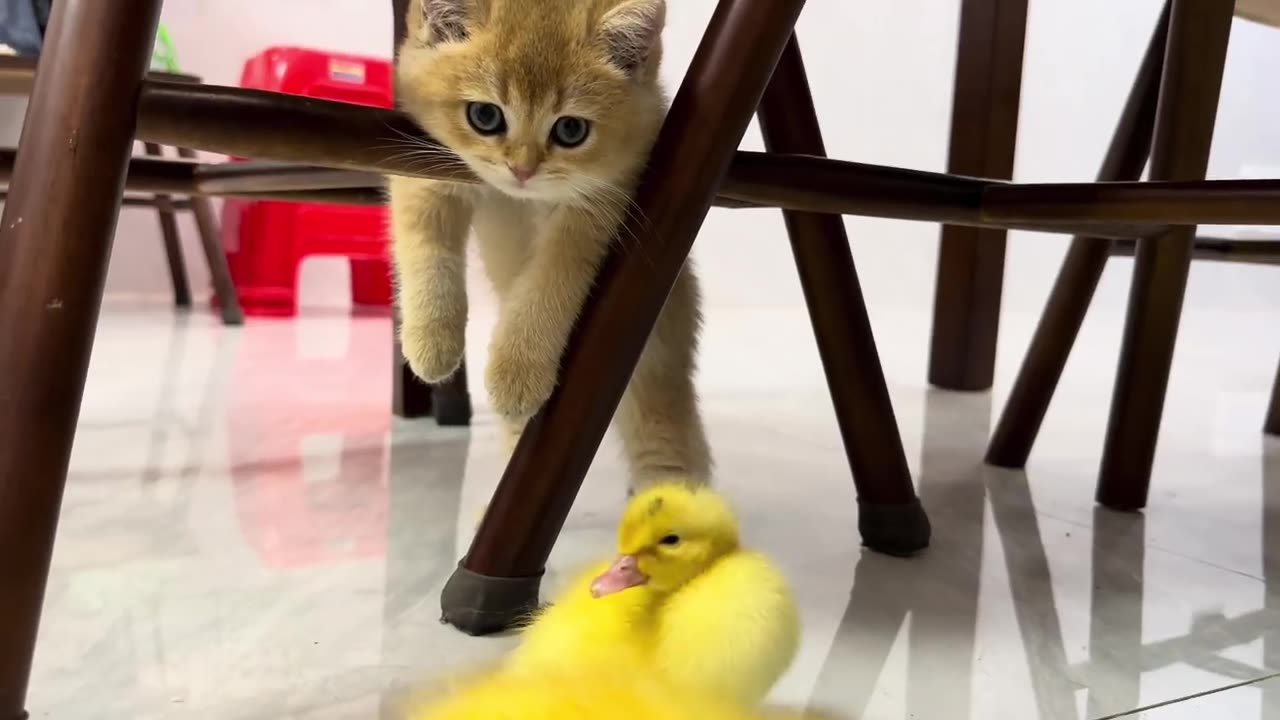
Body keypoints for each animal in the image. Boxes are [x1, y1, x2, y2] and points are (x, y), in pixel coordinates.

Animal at [389, 0, 711, 486]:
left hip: (656, 372)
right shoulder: (426, 163)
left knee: (671, 450)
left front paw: (516, 371)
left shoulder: (597, 211)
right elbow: (427, 250)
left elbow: (550, 285)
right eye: (485, 116)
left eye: (571, 130)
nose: (522, 170)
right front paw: (432, 341)